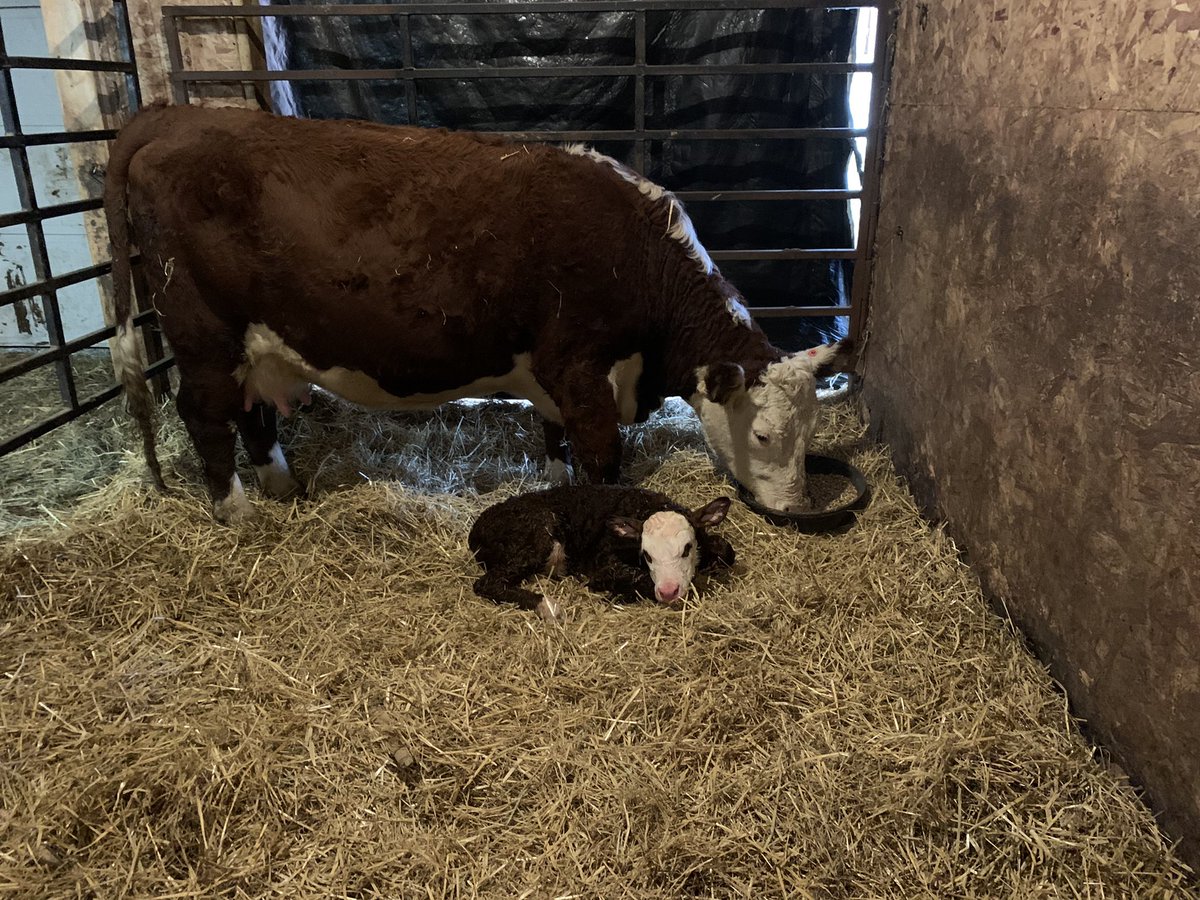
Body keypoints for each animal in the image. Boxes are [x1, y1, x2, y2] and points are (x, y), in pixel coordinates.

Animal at [104, 104, 845, 523]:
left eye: (811, 430)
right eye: (763, 435)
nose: (796, 507)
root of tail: (180, 114)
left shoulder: (556, 376)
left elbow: (554, 438)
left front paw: (553, 482)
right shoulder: (580, 367)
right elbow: (600, 453)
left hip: (257, 347)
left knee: (255, 413)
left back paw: (282, 488)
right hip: (205, 336)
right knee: (205, 416)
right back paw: (237, 513)